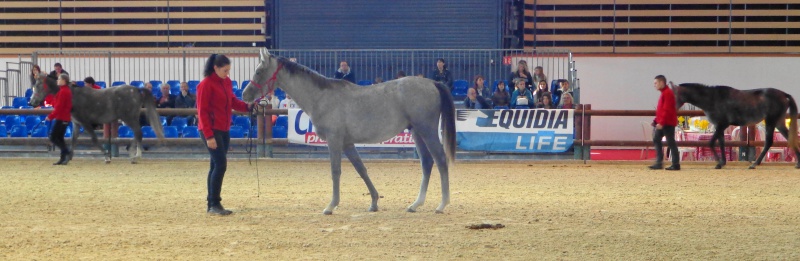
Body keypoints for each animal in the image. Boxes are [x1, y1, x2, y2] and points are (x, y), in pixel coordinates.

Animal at [29, 73, 164, 162]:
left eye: (38, 86)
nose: (31, 102)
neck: (72, 96)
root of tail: (136, 89)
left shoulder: (85, 122)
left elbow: (94, 139)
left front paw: (107, 157)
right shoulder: (77, 123)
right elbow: (74, 139)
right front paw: (69, 157)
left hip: (129, 118)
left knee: (138, 133)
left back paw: (136, 156)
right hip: (131, 118)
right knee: (137, 134)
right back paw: (132, 152)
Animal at [242, 48, 456, 213]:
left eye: (259, 71)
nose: (245, 94)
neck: (321, 97)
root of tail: (433, 83)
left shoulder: (334, 140)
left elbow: (335, 171)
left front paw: (331, 206)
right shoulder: (347, 143)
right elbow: (361, 169)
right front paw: (374, 202)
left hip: (426, 130)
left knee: (440, 160)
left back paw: (442, 204)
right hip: (417, 132)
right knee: (427, 162)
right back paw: (416, 204)